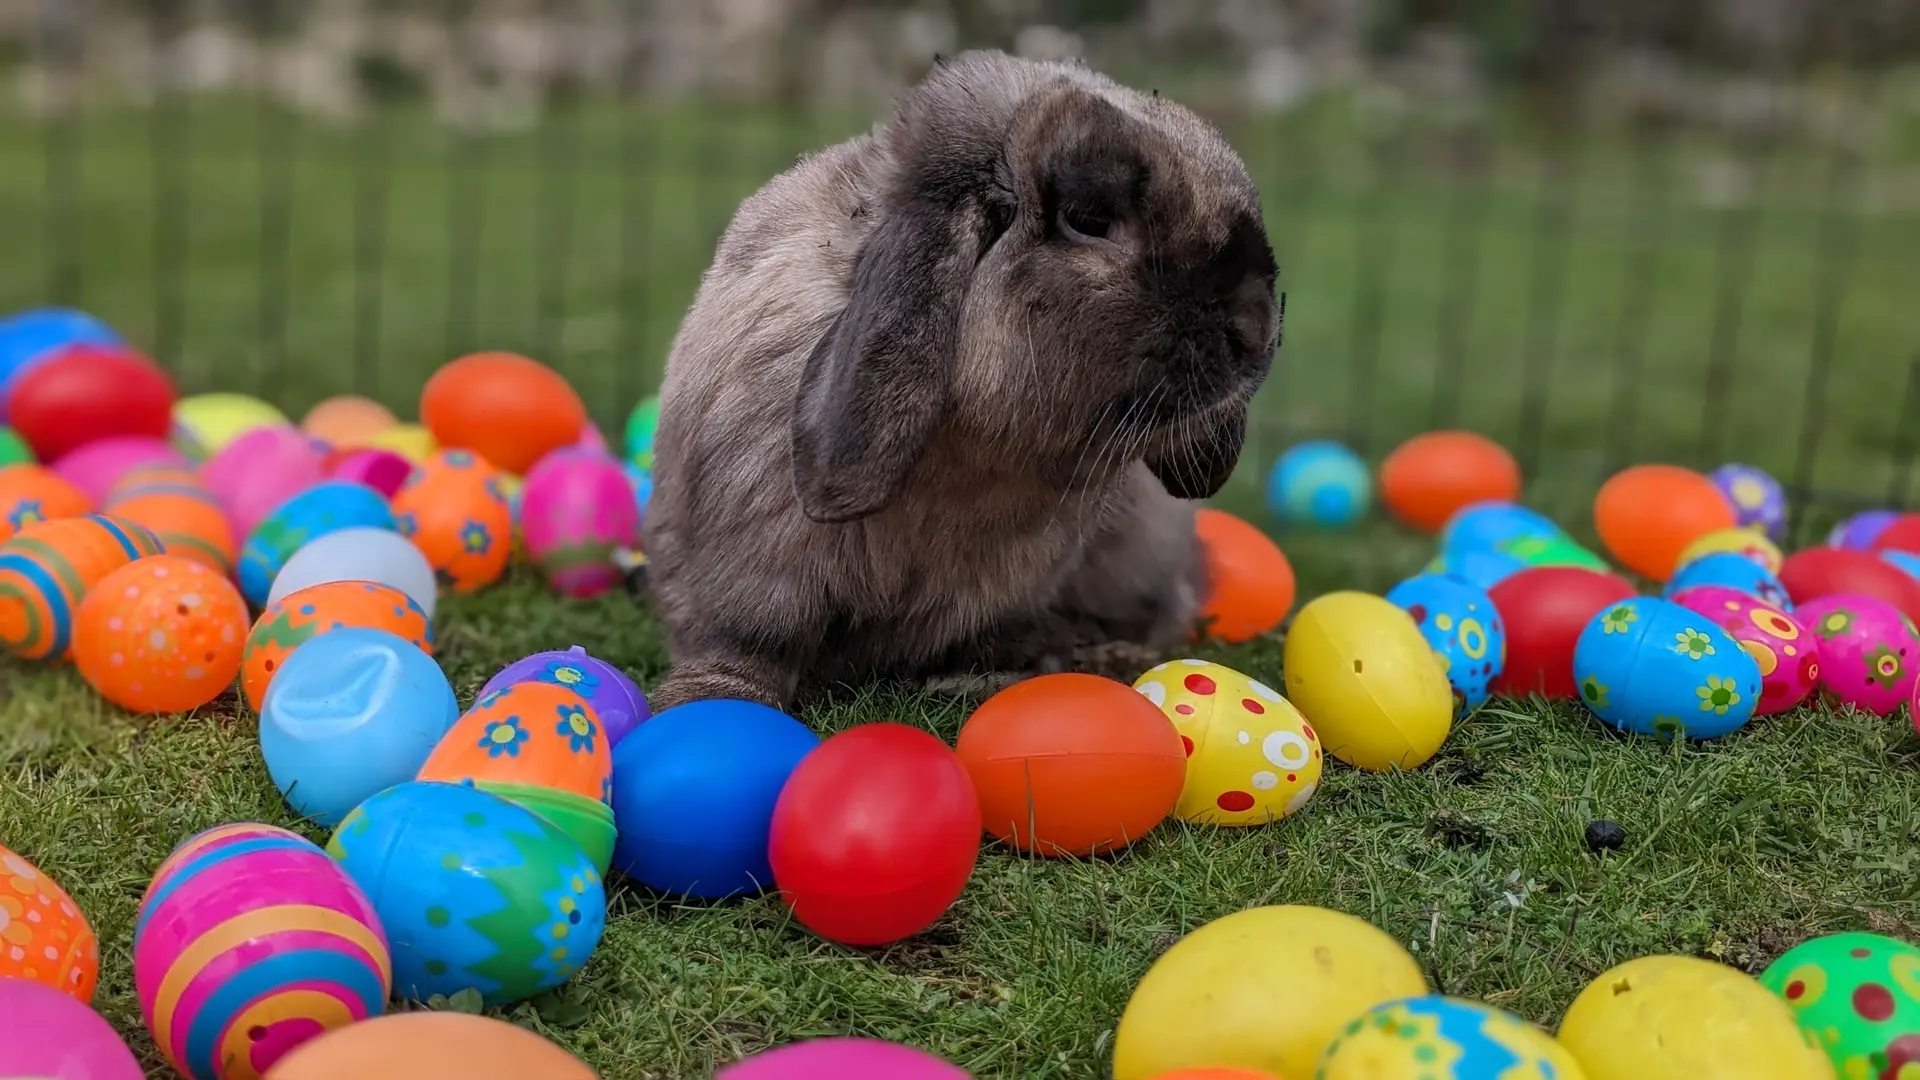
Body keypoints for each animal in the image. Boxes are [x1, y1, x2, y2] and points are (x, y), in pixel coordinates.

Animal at [643, 49, 1280, 712]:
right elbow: (749, 644)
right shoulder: (758, 565)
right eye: (1088, 219)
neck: (969, 457)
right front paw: (705, 699)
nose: (1254, 328)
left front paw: (984, 677)